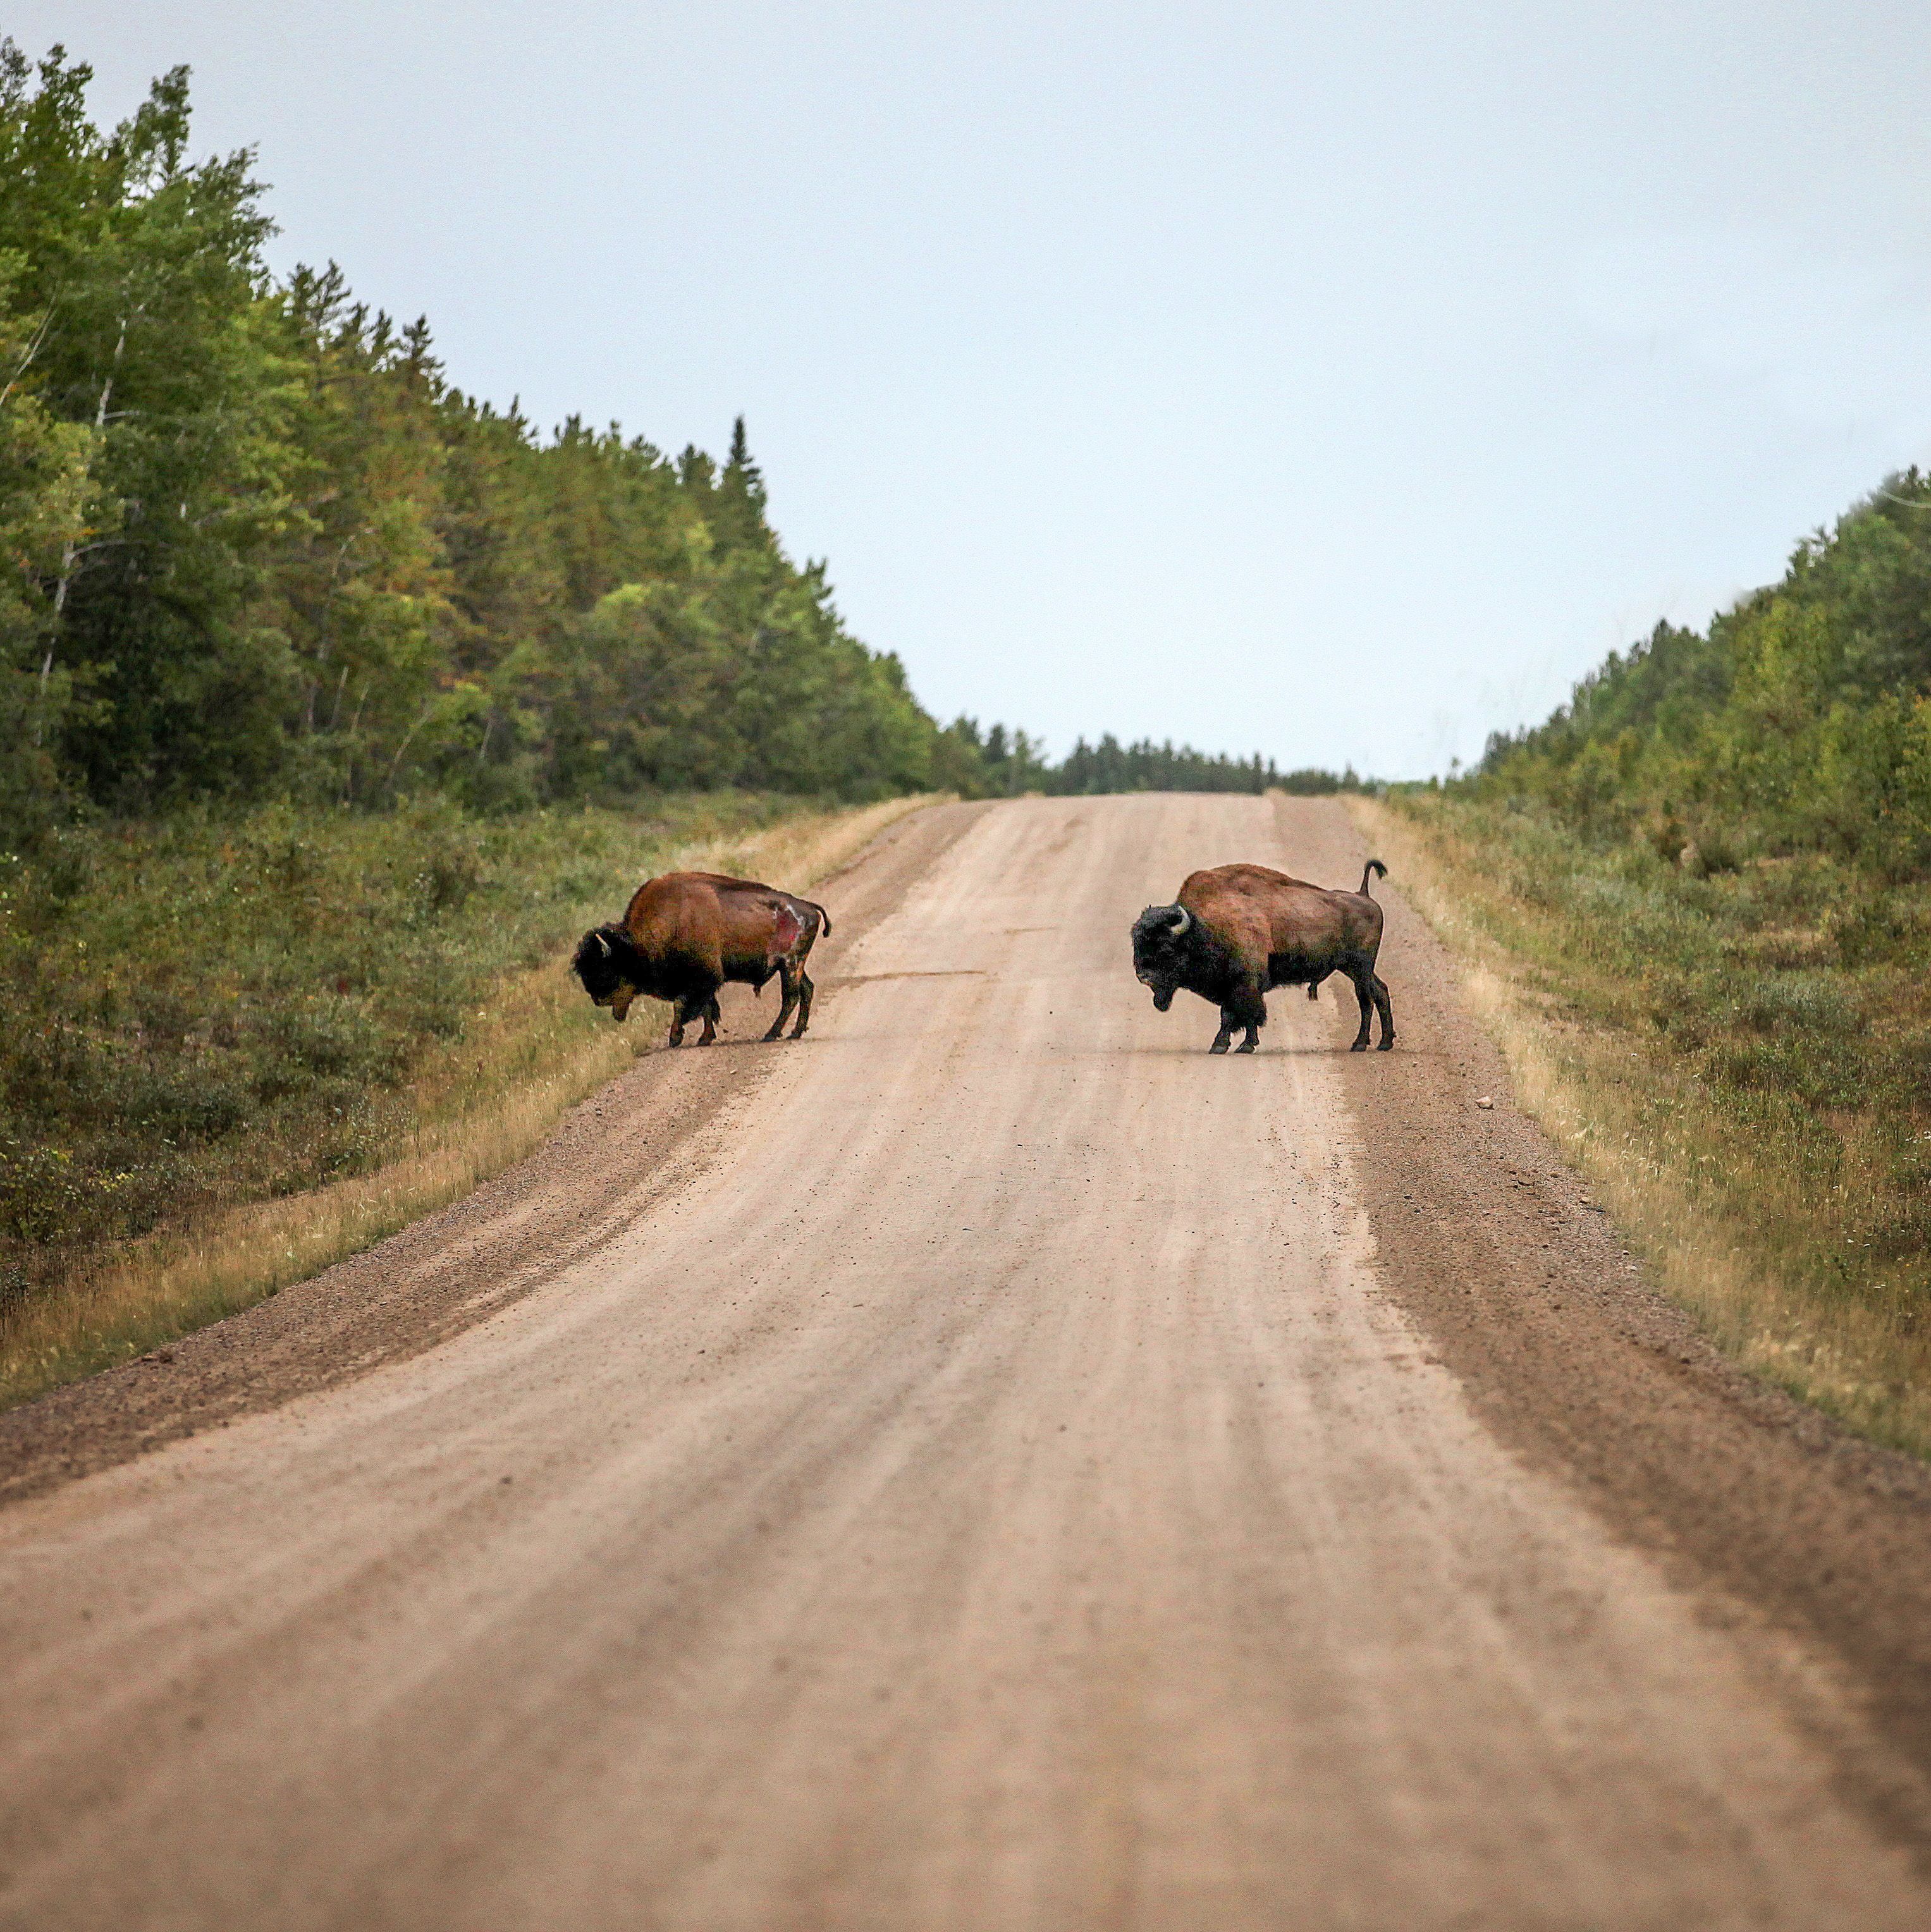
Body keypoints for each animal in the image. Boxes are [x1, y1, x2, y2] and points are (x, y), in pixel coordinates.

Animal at [564, 877, 823, 1051]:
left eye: (604, 969)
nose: (597, 999)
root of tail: (810, 907)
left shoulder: (700, 981)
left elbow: (683, 1006)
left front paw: (675, 1038)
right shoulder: (702, 983)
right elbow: (707, 1008)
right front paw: (704, 1038)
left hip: (790, 965)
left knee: (790, 997)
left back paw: (771, 1034)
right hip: (792, 967)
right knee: (806, 990)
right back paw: (794, 1033)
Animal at [1129, 861, 1399, 1058]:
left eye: (1166, 948)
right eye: (1136, 944)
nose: (1144, 977)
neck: (1202, 926)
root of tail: (1364, 895)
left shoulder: (1243, 983)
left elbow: (1239, 1014)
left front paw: (1231, 1045)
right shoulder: (1234, 985)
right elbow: (1240, 1015)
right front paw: (1239, 1044)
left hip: (1359, 967)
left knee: (1368, 997)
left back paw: (1365, 1044)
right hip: (1354, 968)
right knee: (1378, 992)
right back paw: (1379, 1043)